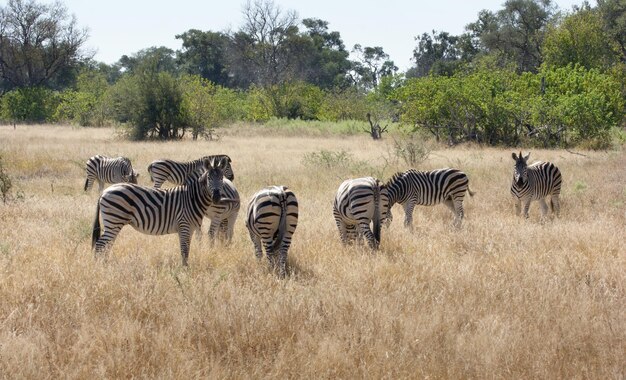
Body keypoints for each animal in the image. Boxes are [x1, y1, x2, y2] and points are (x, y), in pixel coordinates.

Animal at [91, 156, 239, 266]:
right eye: (209, 178)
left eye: (221, 178)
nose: (216, 197)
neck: (193, 198)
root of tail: (104, 191)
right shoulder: (184, 225)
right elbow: (184, 250)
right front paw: (185, 271)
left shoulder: (190, 228)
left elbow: (187, 248)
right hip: (114, 220)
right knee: (100, 245)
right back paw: (100, 267)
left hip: (113, 223)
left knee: (107, 245)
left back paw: (106, 264)